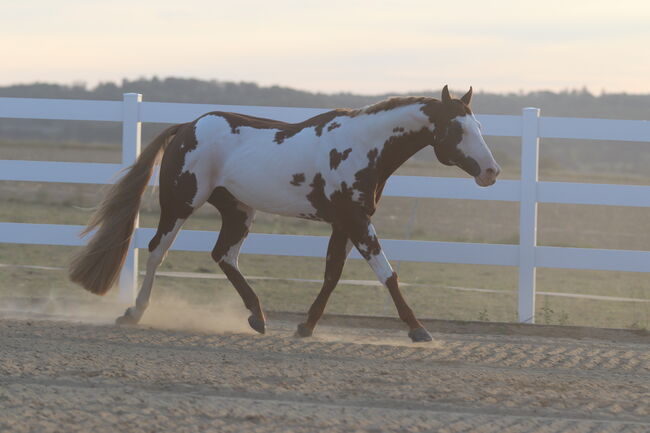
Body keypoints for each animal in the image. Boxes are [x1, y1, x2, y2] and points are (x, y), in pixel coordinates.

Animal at [68, 84, 498, 340]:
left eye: (478, 125)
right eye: (456, 129)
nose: (491, 172)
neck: (364, 146)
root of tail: (188, 126)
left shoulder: (343, 223)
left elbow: (332, 275)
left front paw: (306, 325)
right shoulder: (357, 221)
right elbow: (386, 273)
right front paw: (418, 329)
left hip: (239, 210)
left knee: (223, 255)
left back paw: (258, 317)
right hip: (180, 203)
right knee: (159, 250)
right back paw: (134, 313)